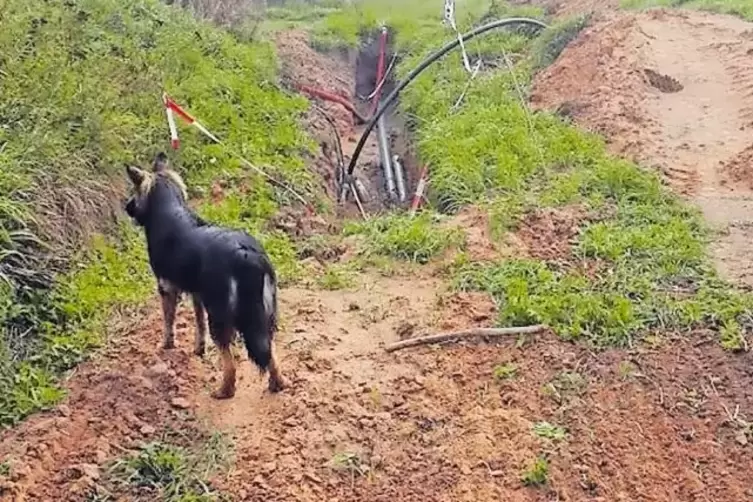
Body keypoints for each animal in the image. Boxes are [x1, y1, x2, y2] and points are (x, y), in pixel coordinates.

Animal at [125, 153, 286, 400]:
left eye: (134, 190)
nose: (126, 207)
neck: (169, 209)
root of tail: (245, 254)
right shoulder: (197, 294)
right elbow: (198, 323)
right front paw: (198, 349)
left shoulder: (166, 287)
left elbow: (168, 322)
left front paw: (166, 345)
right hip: (265, 314)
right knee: (270, 351)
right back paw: (276, 383)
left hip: (221, 315)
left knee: (230, 363)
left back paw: (224, 390)